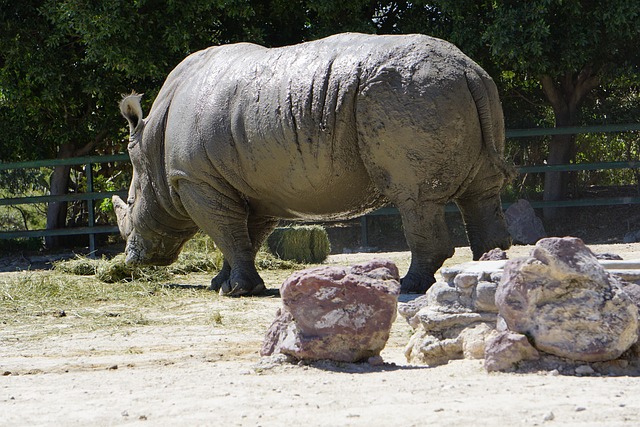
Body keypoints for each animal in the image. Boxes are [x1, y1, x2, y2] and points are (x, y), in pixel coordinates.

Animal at [113, 32, 512, 296]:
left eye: (131, 204)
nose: (133, 260)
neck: (151, 144)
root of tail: (468, 70)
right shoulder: (251, 187)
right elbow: (244, 237)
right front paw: (224, 284)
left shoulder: (196, 180)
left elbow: (227, 232)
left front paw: (235, 290)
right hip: (457, 91)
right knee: (480, 193)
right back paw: (484, 272)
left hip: (409, 95)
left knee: (414, 198)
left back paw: (407, 287)